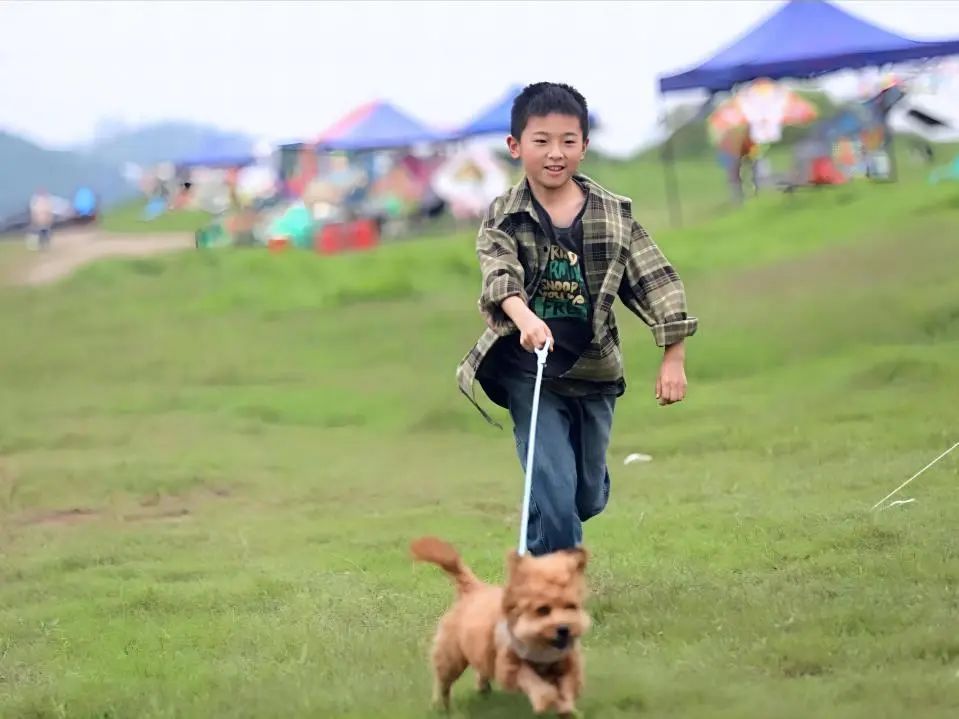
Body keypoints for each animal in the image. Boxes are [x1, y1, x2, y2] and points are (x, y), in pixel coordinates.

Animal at [408, 536, 588, 716]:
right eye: (542, 609)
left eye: (571, 606)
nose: (564, 629)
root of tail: (474, 588)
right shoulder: (509, 666)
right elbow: (533, 682)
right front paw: (545, 700)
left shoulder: (567, 664)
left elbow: (568, 685)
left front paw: (566, 709)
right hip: (451, 657)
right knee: (443, 682)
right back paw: (442, 707)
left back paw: (482, 689)